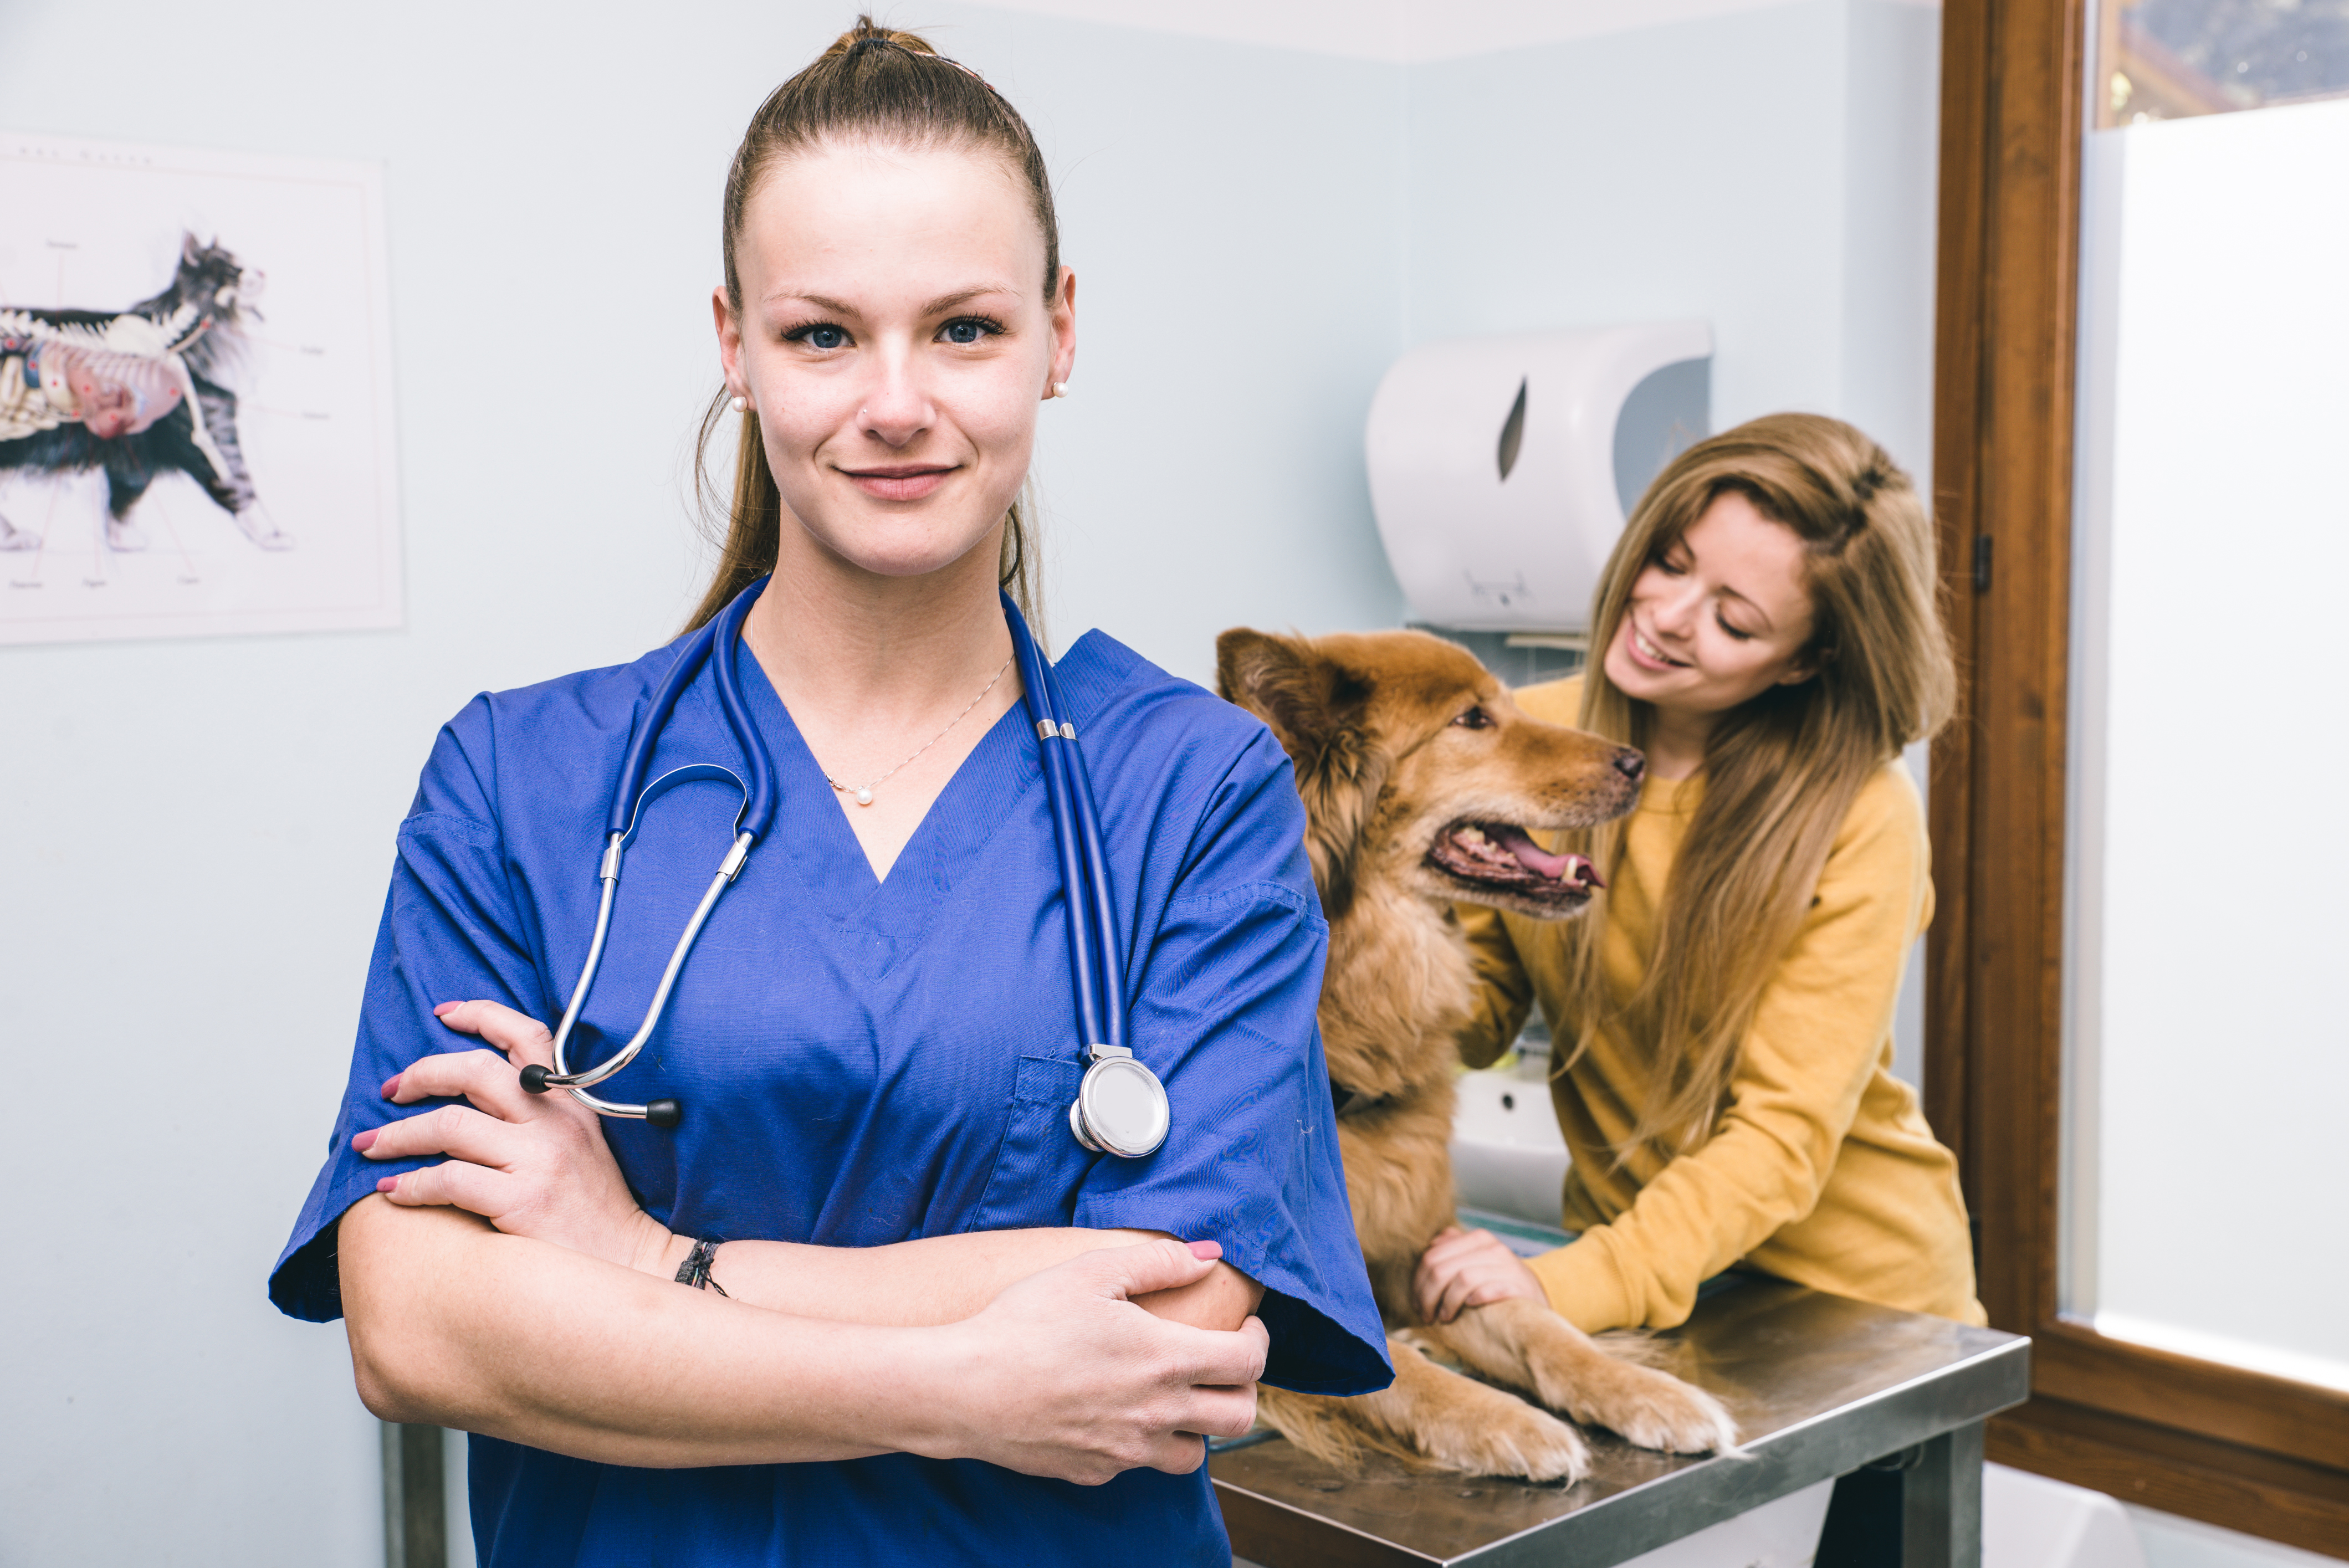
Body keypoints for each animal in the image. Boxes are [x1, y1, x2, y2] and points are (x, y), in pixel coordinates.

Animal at [1212, 629, 1747, 1483]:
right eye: (1472, 720)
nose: (1636, 761)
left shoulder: (1423, 1252)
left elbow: (1531, 1320)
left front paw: (1646, 1391)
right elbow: (1396, 1370)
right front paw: (1507, 1422)